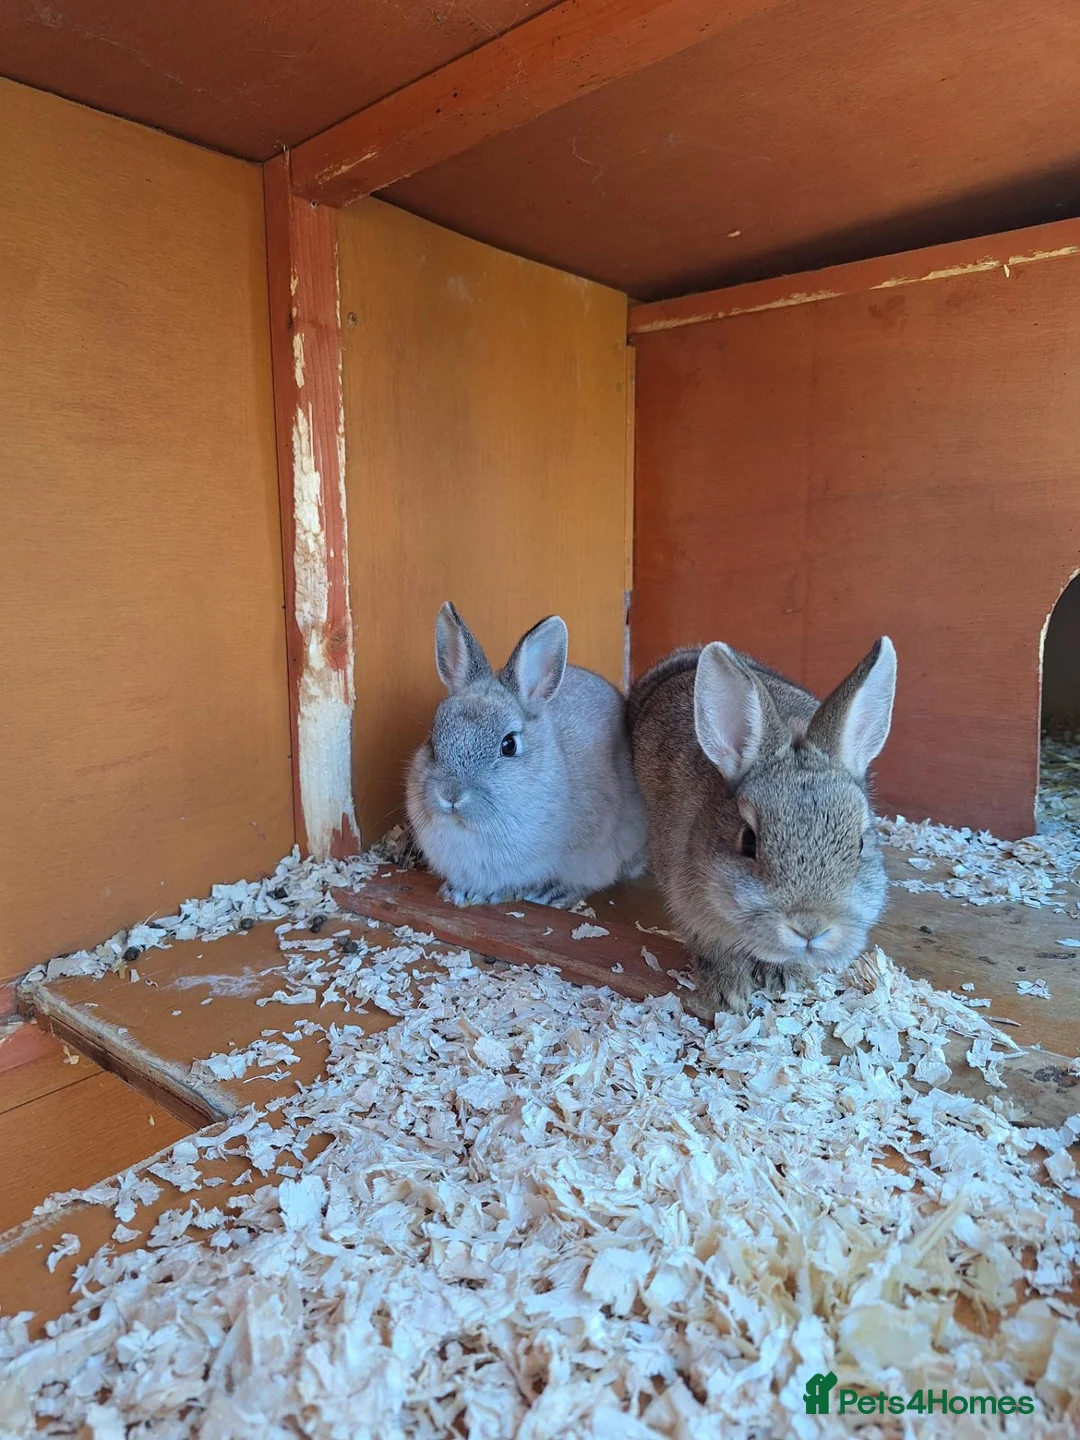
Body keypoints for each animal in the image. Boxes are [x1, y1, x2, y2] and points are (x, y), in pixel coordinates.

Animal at [628, 636, 897, 1017]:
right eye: (748, 841)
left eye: (860, 845)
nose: (810, 926)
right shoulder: (689, 906)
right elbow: (711, 946)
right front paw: (729, 990)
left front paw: (785, 977)